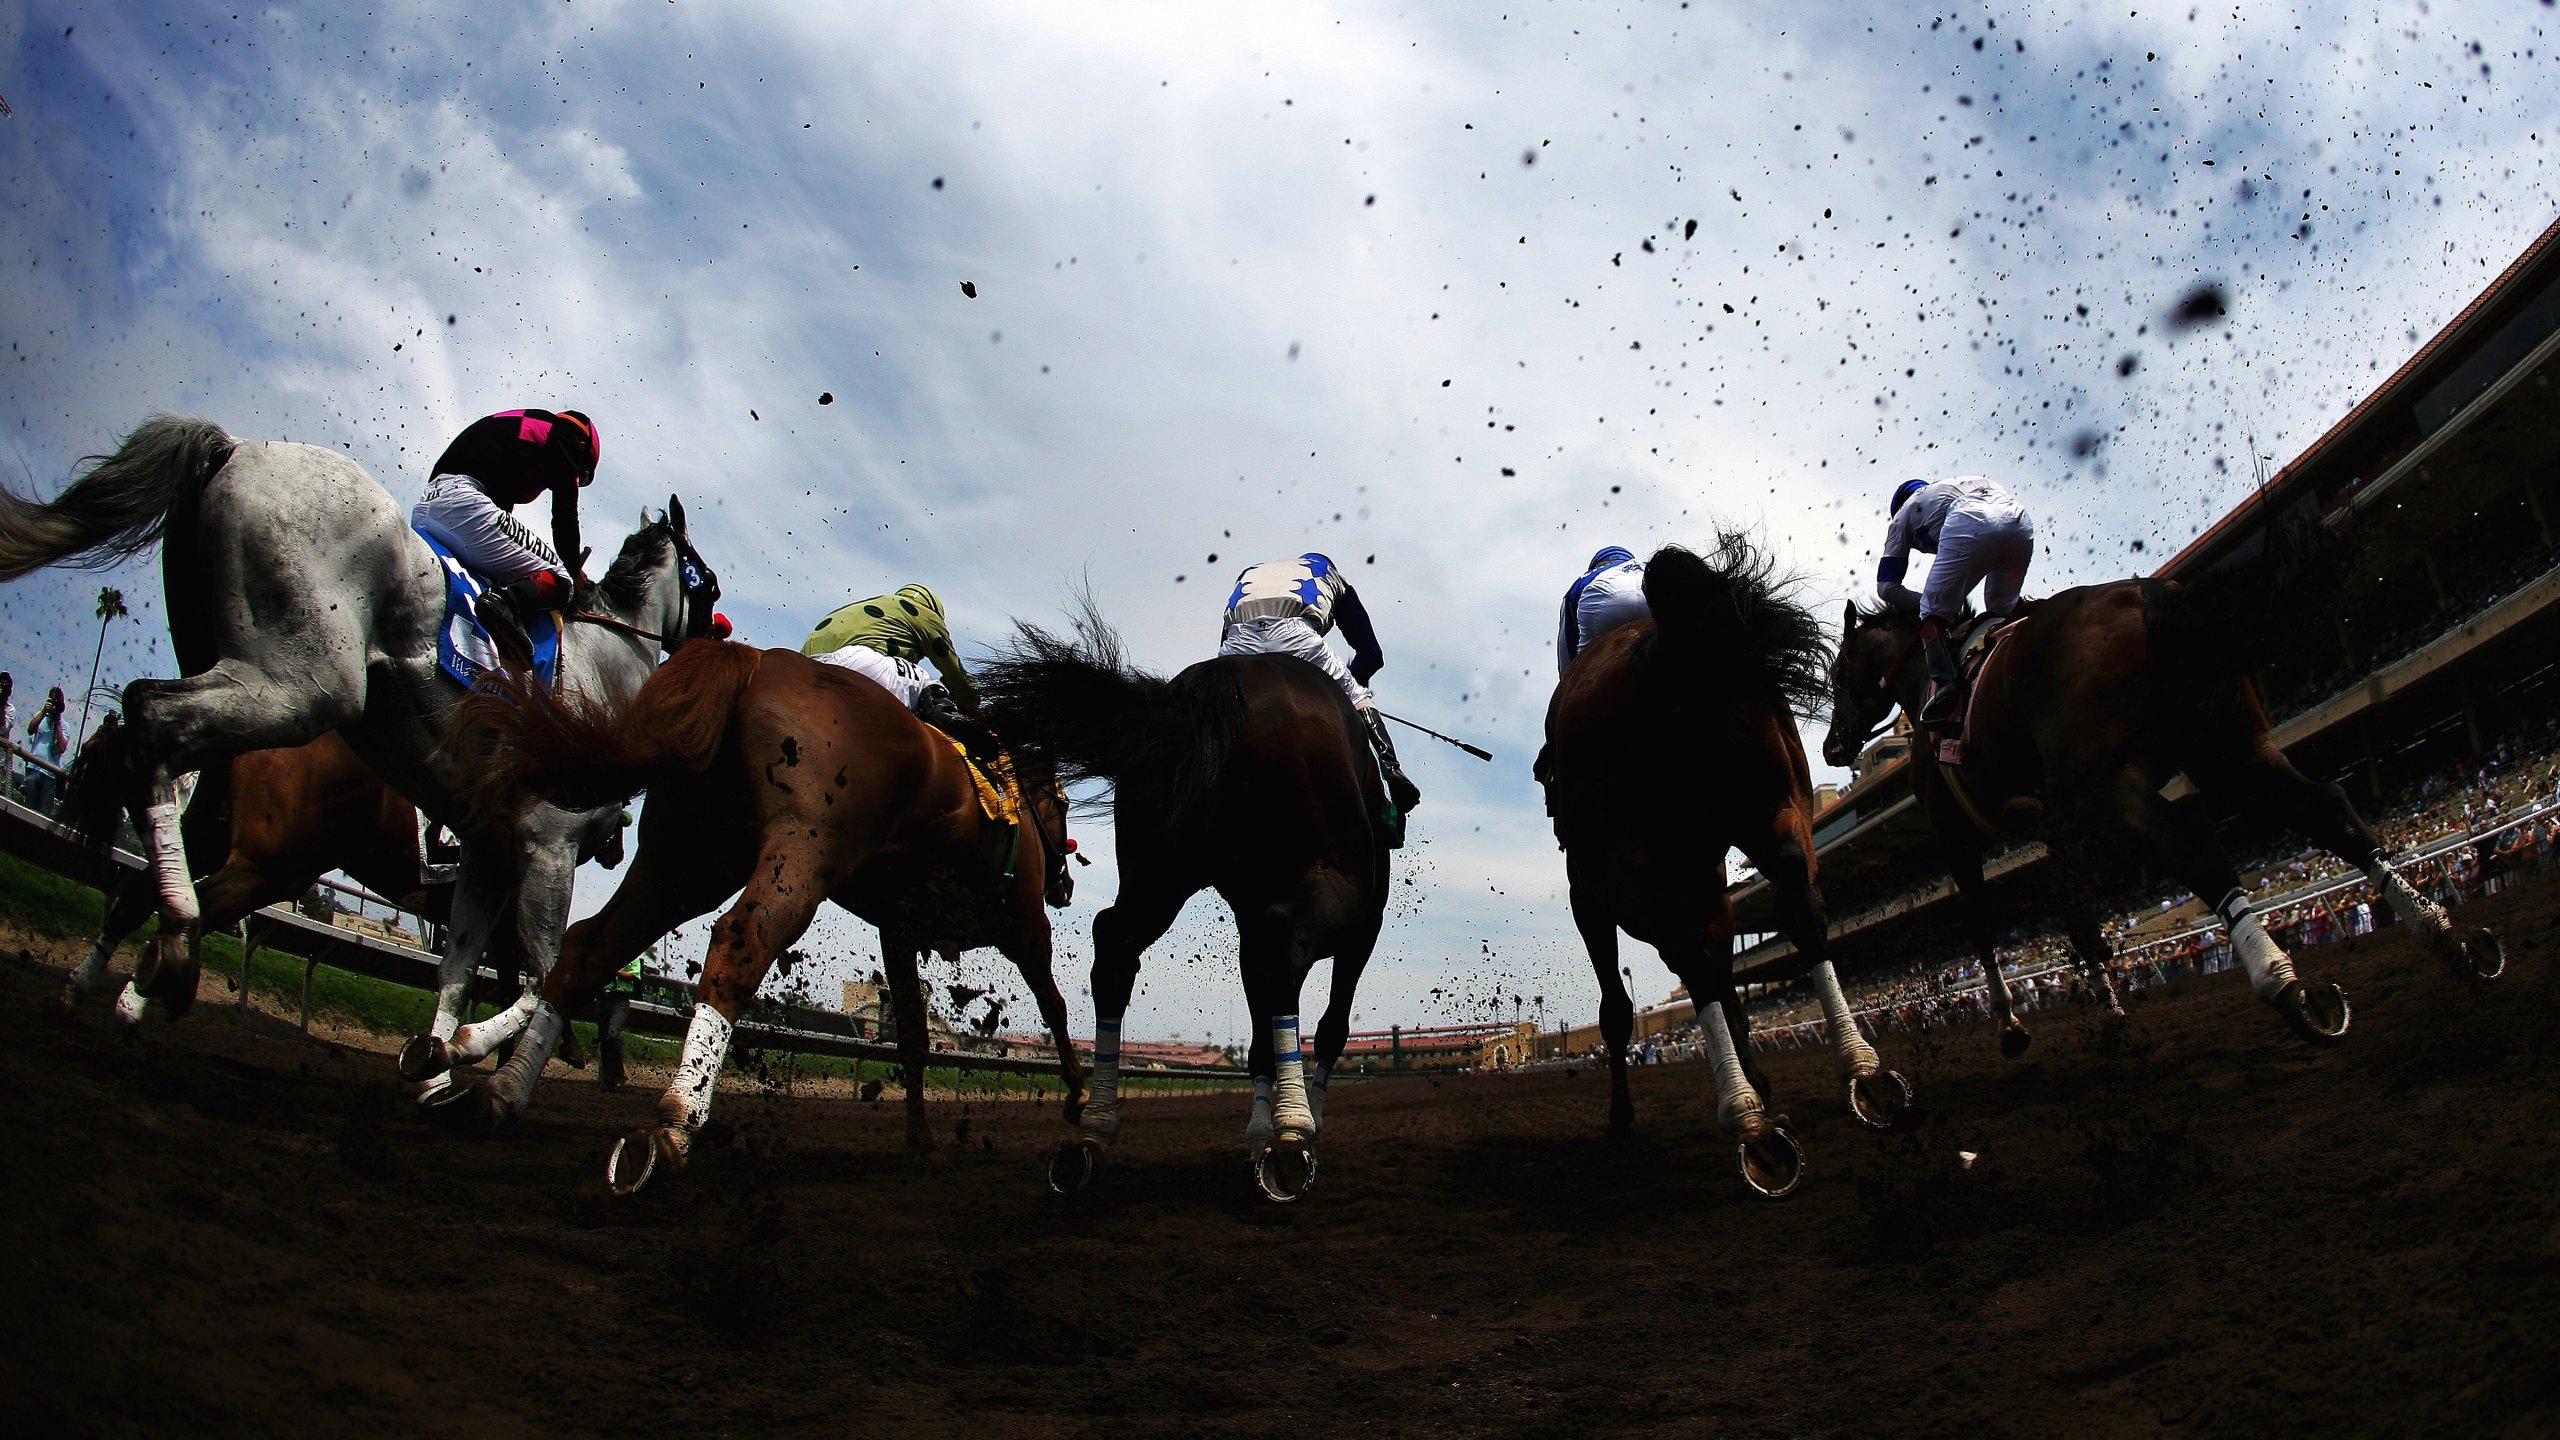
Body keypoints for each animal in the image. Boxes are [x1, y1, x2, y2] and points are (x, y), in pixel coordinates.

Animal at [2, 415, 721, 1096]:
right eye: (708, 585)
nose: (719, 632)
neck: (603, 667)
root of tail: (235, 447)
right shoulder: (547, 844)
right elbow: (545, 979)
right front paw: (466, 1054)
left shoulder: (488, 849)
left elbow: (458, 971)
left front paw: (433, 1069)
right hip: (300, 693)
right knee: (153, 718)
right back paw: (171, 948)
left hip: (227, 730)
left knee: (146, 786)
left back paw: (115, 983)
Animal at [440, 638, 1080, 1188]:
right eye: (1065, 806)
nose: (1066, 884)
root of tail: (753, 663)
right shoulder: (1025, 927)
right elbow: (1055, 1006)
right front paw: (1077, 1096)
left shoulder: (899, 930)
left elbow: (914, 1038)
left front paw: (921, 1140)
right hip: (802, 849)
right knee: (741, 941)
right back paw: (676, 1124)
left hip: (686, 861)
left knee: (590, 947)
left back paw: (503, 1091)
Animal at [1536, 532, 1904, 1194]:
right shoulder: (1710, 891)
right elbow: (1730, 985)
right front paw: (1760, 1080)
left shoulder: (1596, 896)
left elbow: (1622, 1008)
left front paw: (1624, 1116)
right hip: (1774, 808)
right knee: (1801, 909)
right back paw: (1859, 1071)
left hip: (1629, 872)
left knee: (1692, 962)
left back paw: (1748, 1123)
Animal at [1822, 509, 2498, 1050]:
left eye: (1836, 674)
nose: (1831, 746)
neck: (1923, 684)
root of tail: (2156, 596)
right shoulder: (2055, 827)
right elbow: (2081, 921)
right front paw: (2110, 1015)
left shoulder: (1955, 833)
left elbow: (1983, 924)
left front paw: (2012, 1025)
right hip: (2232, 751)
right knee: (2325, 806)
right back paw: (2442, 935)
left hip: (2114, 784)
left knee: (2191, 841)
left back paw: (2287, 987)